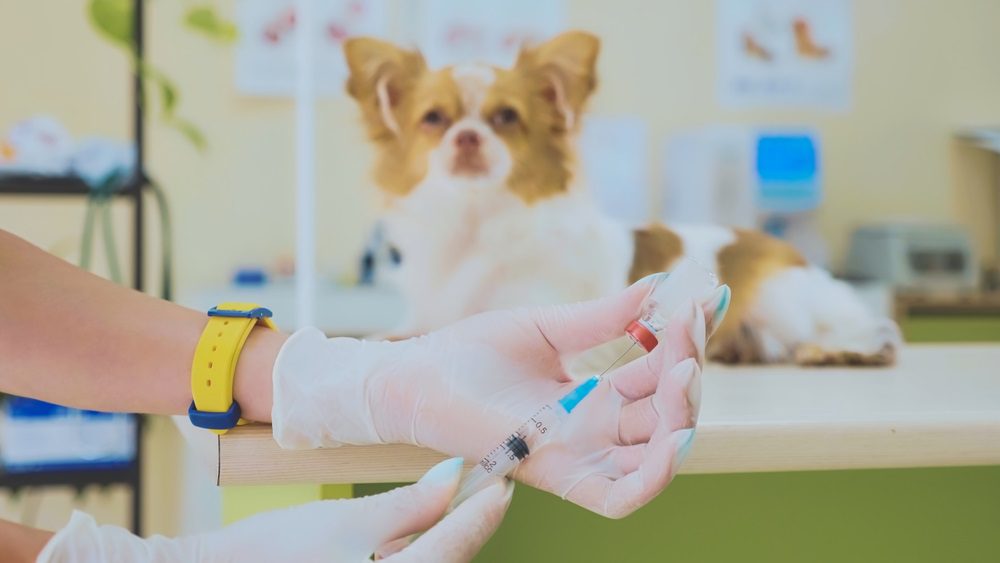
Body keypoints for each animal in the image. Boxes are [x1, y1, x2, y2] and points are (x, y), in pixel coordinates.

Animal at [342, 32, 900, 366]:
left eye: (506, 117)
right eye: (433, 119)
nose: (467, 137)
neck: (475, 224)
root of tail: (782, 245)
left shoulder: (535, 310)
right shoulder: (427, 314)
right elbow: (406, 331)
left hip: (784, 301)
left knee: (875, 330)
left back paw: (835, 350)